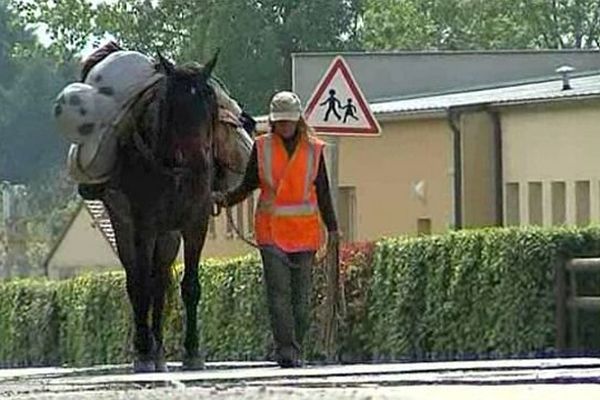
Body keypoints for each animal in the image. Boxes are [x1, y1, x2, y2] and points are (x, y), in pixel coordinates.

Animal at [98, 51, 223, 374]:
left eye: (210, 101)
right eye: (174, 105)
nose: (200, 163)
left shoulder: (194, 224)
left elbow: (188, 286)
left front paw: (192, 351)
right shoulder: (144, 226)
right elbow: (140, 284)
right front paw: (143, 350)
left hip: (168, 236)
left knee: (160, 281)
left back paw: (158, 350)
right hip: (126, 225)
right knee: (138, 279)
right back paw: (146, 347)